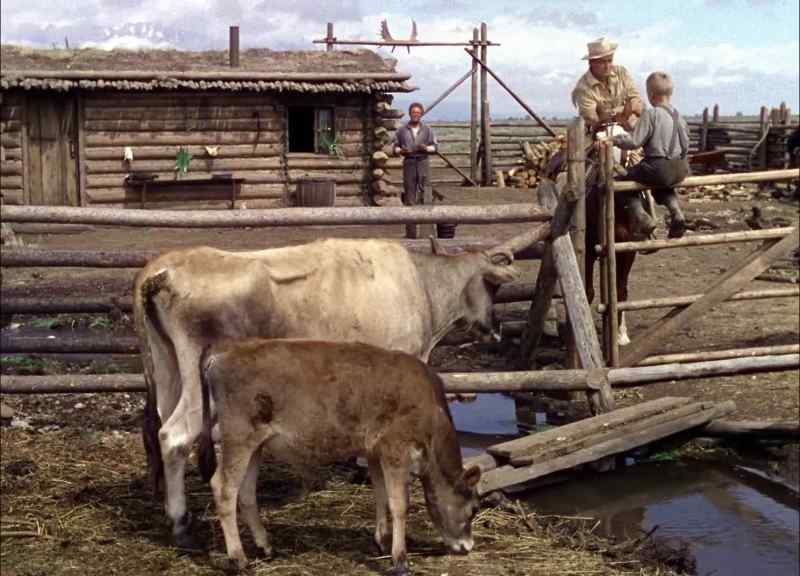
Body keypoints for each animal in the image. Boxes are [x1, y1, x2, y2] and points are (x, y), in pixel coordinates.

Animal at [134, 236, 524, 548]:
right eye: (493, 287)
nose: (495, 329)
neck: (421, 287)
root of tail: (160, 271)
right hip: (196, 389)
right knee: (174, 436)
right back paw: (181, 524)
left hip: (168, 373)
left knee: (162, 430)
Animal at [198, 338, 481, 574]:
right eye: (474, 508)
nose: (468, 546)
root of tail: (226, 350)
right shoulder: (395, 448)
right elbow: (400, 504)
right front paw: (400, 560)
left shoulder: (374, 451)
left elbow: (381, 496)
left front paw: (381, 541)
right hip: (238, 436)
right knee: (224, 488)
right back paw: (238, 558)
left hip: (255, 444)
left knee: (246, 492)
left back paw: (265, 546)